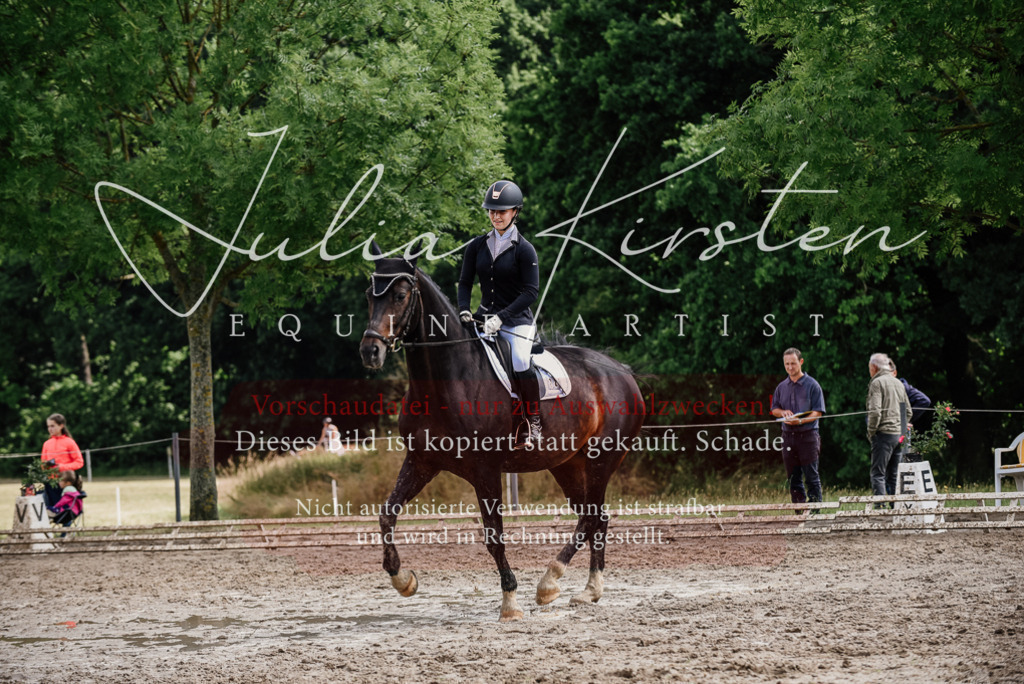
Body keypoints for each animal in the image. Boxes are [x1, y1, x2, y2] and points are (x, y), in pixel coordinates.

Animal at [359, 243, 644, 621]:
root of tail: (621, 371)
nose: (370, 350)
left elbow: (494, 535)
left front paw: (510, 601)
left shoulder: (486, 470)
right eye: (369, 296)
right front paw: (402, 579)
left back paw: (550, 582)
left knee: (591, 516)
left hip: (601, 459)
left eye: (401, 295)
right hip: (566, 464)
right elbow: (386, 514)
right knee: (596, 516)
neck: (447, 379)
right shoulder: (422, 461)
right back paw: (588, 590)